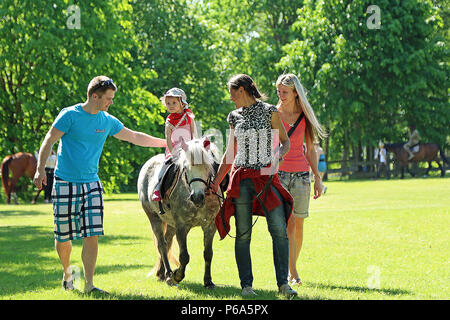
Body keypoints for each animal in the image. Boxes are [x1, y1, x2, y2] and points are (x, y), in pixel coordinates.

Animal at [137, 137, 221, 288]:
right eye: (186, 168)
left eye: (207, 166)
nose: (197, 197)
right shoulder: (182, 227)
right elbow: (184, 256)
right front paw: (177, 276)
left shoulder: (210, 226)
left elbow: (208, 253)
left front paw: (208, 281)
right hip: (154, 218)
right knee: (162, 244)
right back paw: (169, 274)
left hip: (170, 223)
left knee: (168, 242)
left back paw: (162, 273)